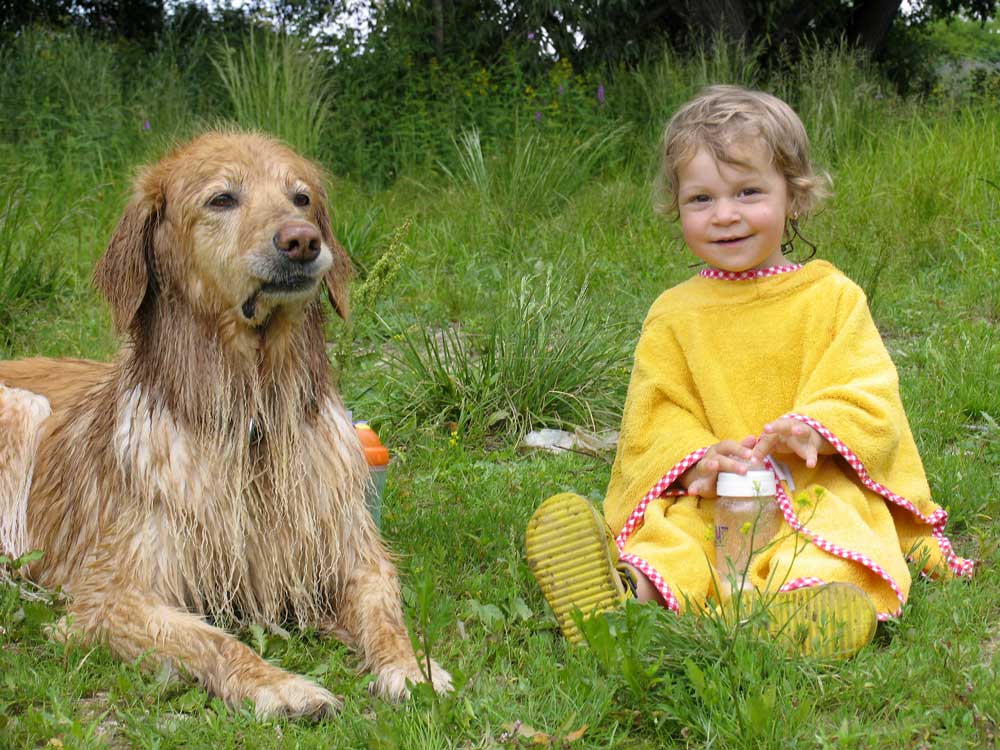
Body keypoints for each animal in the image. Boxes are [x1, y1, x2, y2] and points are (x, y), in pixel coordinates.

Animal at [0, 132, 450, 720]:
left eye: (301, 198)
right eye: (222, 199)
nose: (303, 241)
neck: (251, 414)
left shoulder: (352, 555)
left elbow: (386, 616)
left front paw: (411, 670)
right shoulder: (114, 595)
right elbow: (211, 639)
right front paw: (280, 685)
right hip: (20, 407)